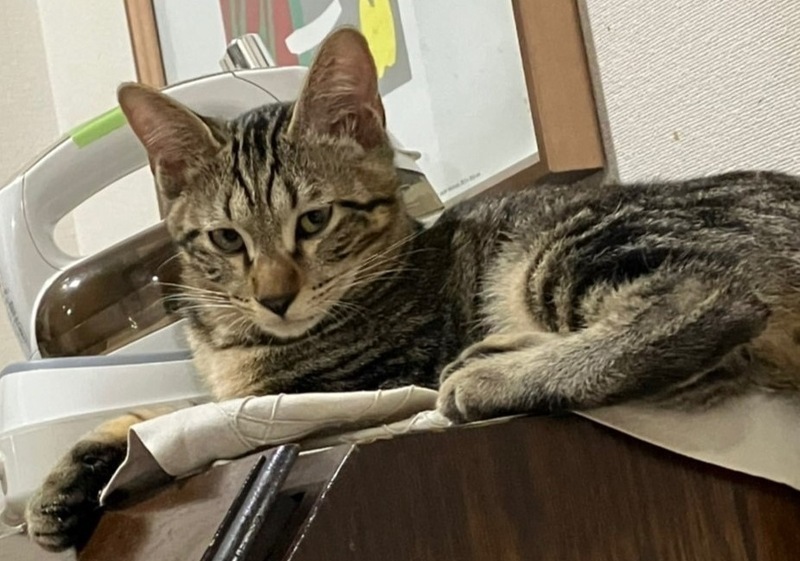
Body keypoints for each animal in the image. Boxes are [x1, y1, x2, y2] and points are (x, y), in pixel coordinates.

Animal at [25, 27, 800, 552]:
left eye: (314, 220)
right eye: (226, 240)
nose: (275, 297)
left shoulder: (333, 384)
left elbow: (182, 412)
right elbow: (164, 413)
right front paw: (62, 488)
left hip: (572, 238)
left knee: (711, 304)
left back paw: (490, 377)